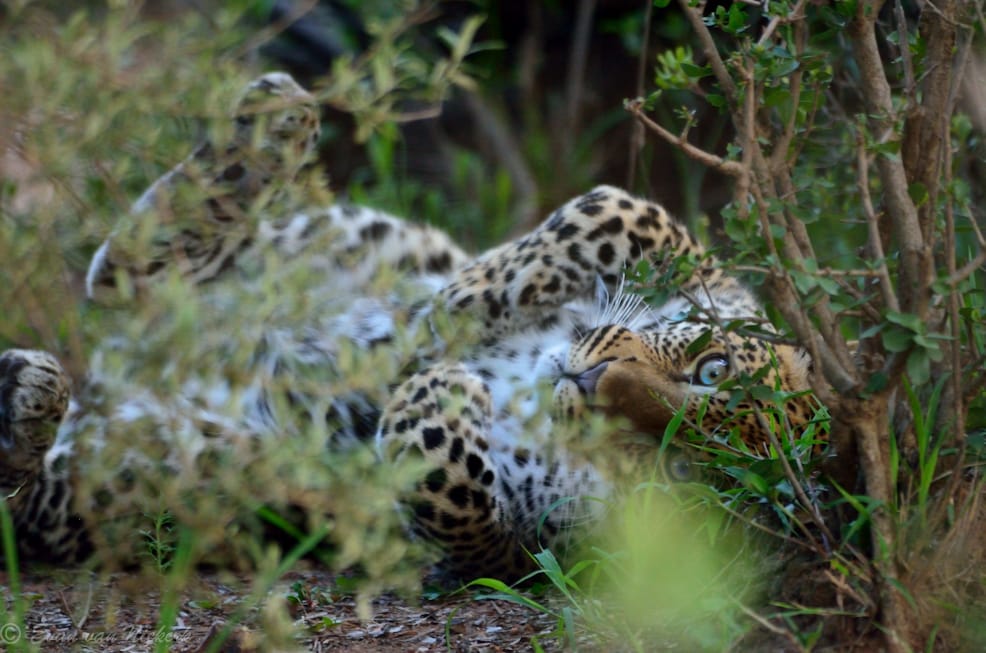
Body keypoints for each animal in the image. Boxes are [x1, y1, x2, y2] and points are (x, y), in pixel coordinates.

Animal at [0, 71, 819, 581]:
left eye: (678, 463)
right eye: (710, 369)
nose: (589, 382)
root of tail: (122, 368)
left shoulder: (528, 548)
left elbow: (455, 498)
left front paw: (435, 389)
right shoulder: (687, 251)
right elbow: (615, 216)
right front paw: (445, 315)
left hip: (161, 484)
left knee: (26, 494)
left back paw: (27, 398)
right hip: (336, 239)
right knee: (137, 265)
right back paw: (274, 121)